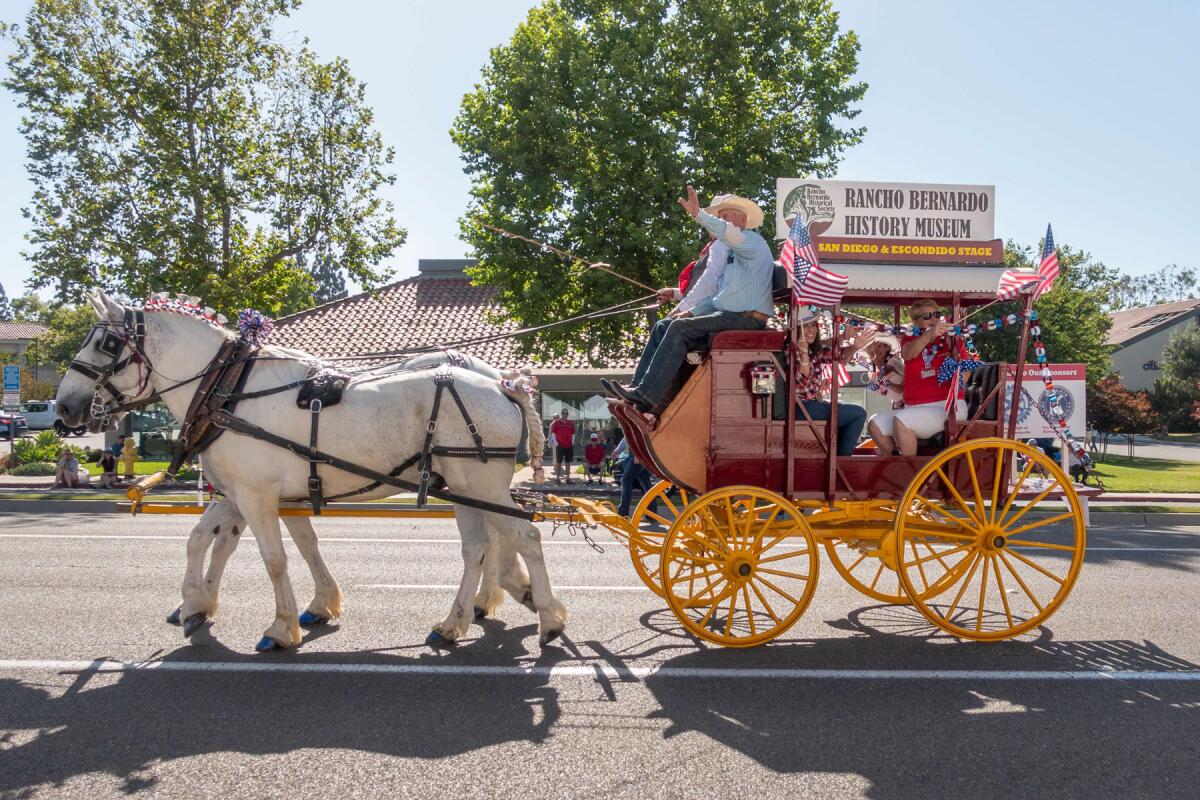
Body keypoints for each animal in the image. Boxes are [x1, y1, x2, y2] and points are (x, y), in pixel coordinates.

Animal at [62, 293, 571, 652]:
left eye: (107, 343)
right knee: (478, 548)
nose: (65, 407)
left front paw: (280, 627)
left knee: (524, 536)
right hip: (463, 483)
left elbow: (272, 558)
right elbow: (212, 539)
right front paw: (196, 604)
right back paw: (456, 622)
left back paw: (548, 618)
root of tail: (504, 385)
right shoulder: (247, 493)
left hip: (480, 482)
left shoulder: (256, 496)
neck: (228, 391)